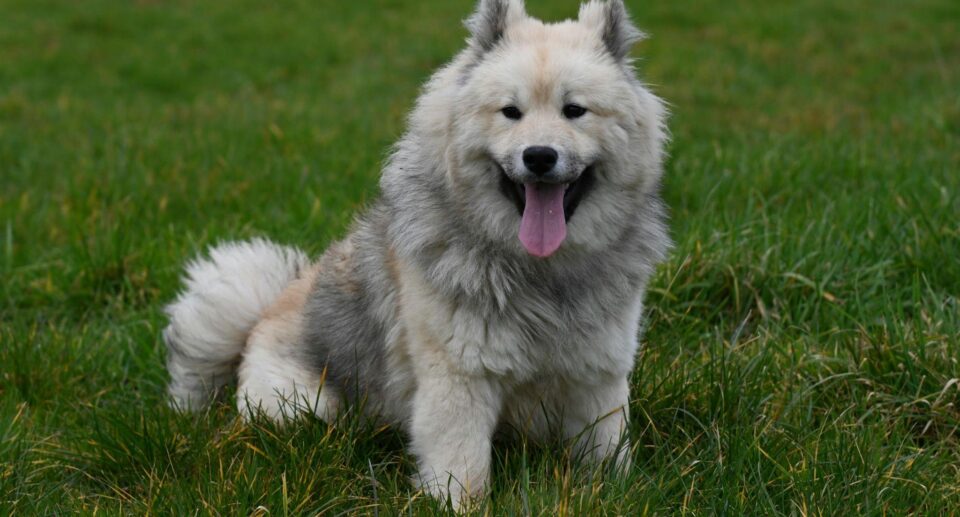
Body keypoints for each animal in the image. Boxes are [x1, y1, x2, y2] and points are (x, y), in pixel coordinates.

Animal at [163, 0, 668, 508]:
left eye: (574, 111)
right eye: (511, 112)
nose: (539, 156)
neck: (542, 275)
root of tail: (256, 321)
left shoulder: (598, 376)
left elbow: (607, 453)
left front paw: (613, 493)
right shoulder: (458, 381)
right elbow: (462, 470)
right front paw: (459, 507)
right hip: (308, 406)